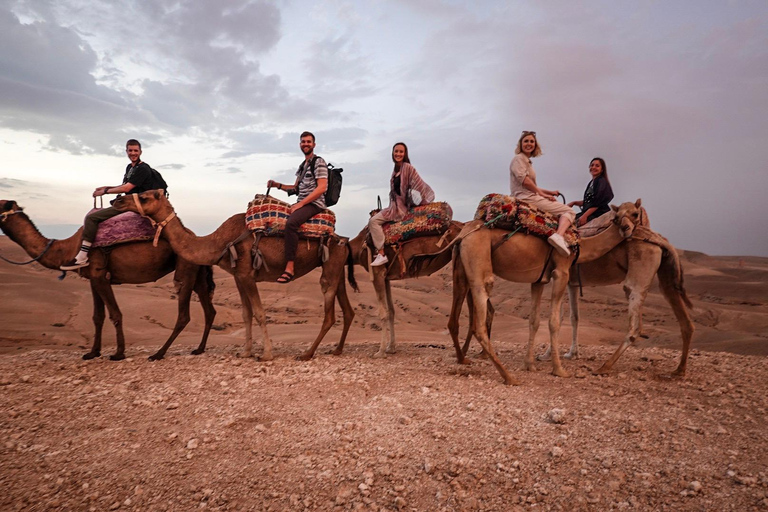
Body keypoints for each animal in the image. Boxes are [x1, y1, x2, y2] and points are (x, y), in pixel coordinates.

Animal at [0, 199, 216, 360]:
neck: (68, 249)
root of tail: (195, 237)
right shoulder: (93, 279)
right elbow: (97, 316)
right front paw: (93, 352)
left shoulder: (100, 275)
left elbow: (115, 314)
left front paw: (118, 353)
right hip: (197, 271)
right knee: (209, 310)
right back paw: (199, 348)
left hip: (185, 268)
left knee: (184, 314)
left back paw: (159, 353)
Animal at [112, 190, 356, 362]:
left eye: (144, 196)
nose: (116, 200)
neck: (217, 242)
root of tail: (343, 240)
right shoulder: (239, 276)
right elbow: (246, 314)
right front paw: (245, 352)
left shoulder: (247, 274)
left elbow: (259, 313)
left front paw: (266, 354)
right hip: (337, 267)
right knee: (348, 310)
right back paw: (336, 350)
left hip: (329, 266)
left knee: (329, 313)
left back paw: (306, 354)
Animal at [344, 220, 464, 356]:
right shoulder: (386, 277)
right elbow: (391, 311)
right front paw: (391, 348)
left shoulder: (377, 273)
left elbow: (383, 313)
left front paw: (380, 351)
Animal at [414, 200, 640, 384]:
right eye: (618, 216)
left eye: (635, 213)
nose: (626, 228)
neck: (580, 245)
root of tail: (463, 234)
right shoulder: (561, 271)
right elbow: (554, 322)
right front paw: (559, 370)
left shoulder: (539, 280)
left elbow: (534, 320)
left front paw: (529, 364)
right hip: (478, 259)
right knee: (479, 319)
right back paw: (508, 377)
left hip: (459, 267)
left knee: (454, 317)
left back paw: (464, 359)